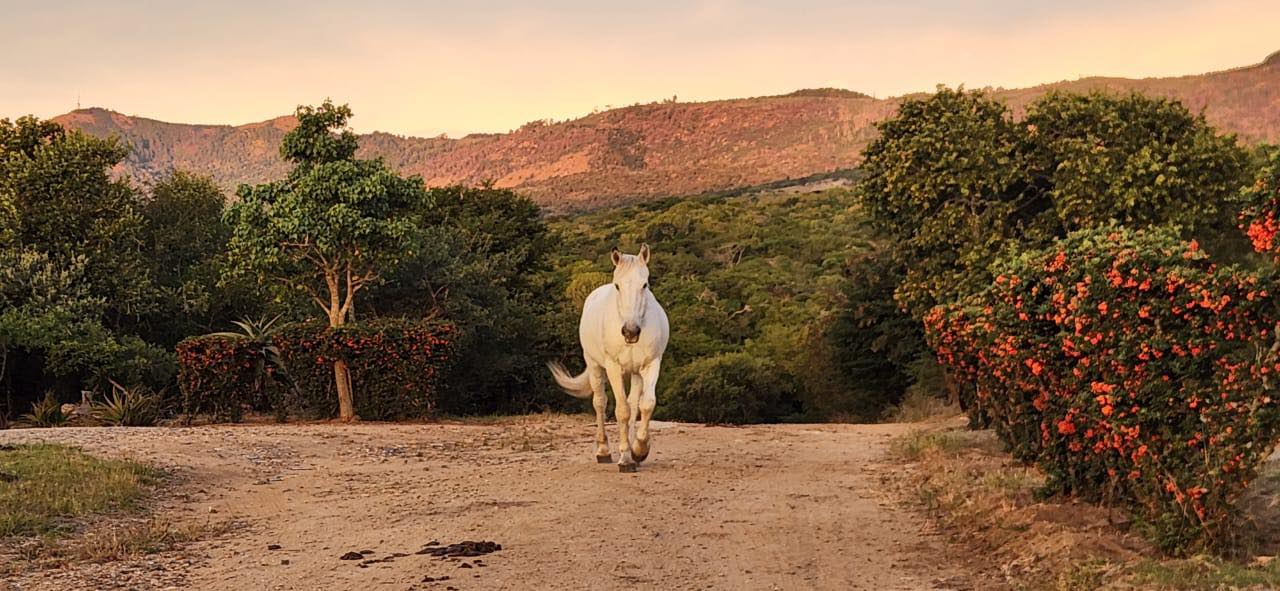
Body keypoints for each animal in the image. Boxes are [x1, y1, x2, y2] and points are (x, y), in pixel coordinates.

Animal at [548, 245, 670, 473]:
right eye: (617, 286)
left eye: (645, 284)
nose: (630, 332)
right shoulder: (613, 368)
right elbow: (621, 411)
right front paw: (625, 460)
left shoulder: (651, 365)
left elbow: (646, 404)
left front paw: (639, 450)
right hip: (596, 366)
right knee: (600, 403)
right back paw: (603, 451)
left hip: (635, 373)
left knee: (633, 404)